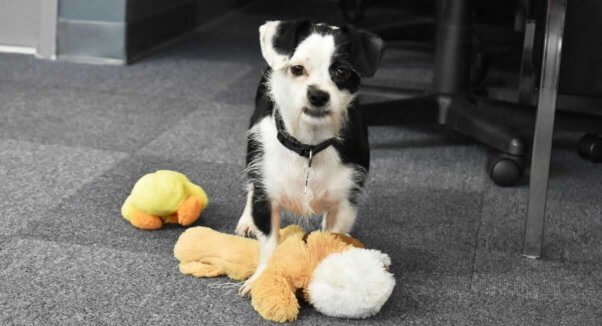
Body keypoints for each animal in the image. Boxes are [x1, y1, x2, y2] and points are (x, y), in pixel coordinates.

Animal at [232, 19, 382, 296]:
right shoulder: (266, 199)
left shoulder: (345, 204)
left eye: (342, 72)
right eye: (297, 69)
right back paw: (247, 220)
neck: (309, 146)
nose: (318, 95)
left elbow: (331, 240)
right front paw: (262, 279)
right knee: (251, 186)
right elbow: (269, 244)